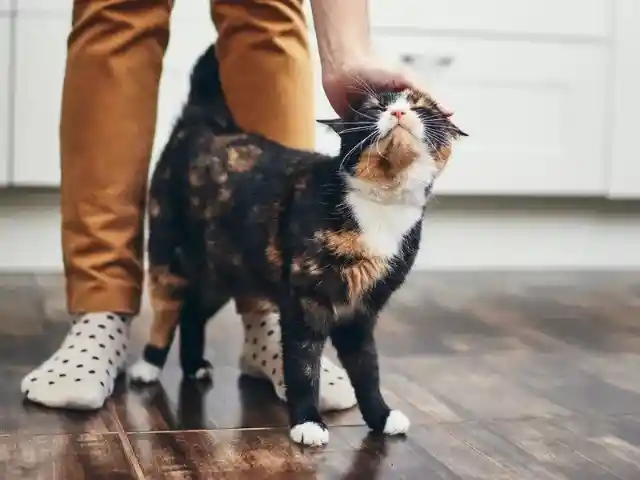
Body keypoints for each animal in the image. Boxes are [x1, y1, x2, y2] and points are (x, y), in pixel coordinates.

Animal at [132, 45, 468, 446]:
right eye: (373, 107)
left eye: (421, 108)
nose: (399, 112)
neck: (381, 206)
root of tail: (205, 120)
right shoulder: (306, 301)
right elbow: (303, 365)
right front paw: (307, 422)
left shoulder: (362, 311)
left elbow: (367, 369)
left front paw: (381, 416)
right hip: (169, 253)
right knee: (167, 310)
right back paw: (148, 365)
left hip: (224, 270)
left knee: (193, 312)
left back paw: (194, 365)